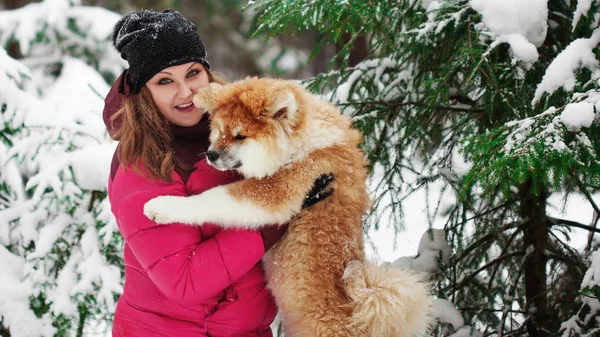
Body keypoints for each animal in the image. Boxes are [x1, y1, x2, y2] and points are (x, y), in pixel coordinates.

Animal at [145, 77, 432, 336]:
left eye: (240, 136)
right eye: (219, 130)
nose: (211, 155)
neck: (299, 145)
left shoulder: (280, 190)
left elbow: (212, 198)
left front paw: (162, 205)